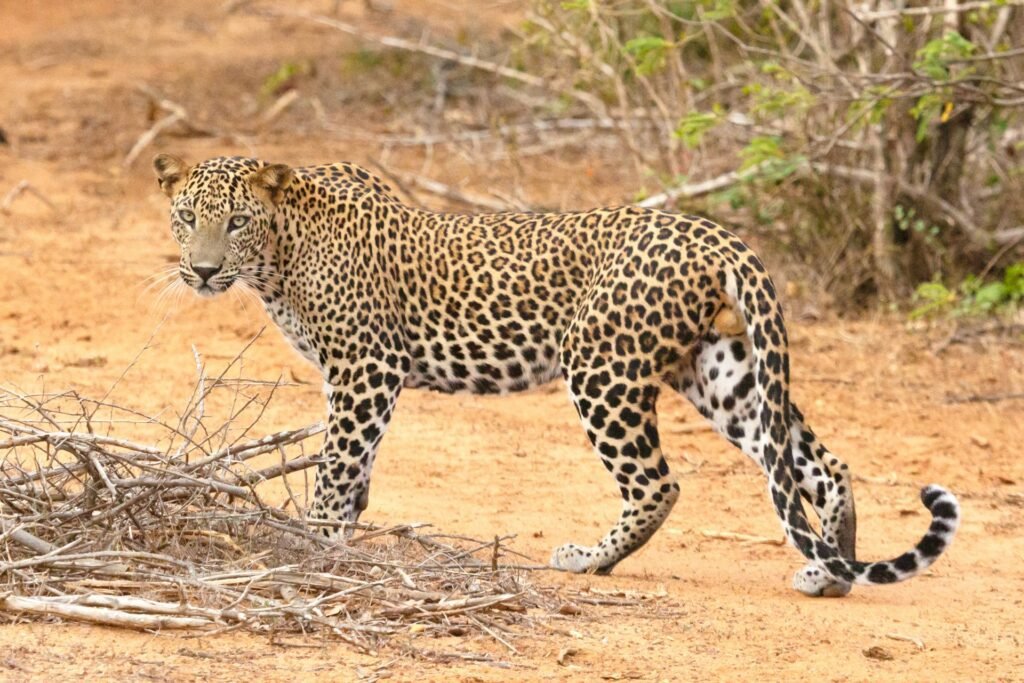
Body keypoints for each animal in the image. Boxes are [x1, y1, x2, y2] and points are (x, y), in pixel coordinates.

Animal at [152, 153, 960, 597]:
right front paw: (341, 535)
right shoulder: (358, 376)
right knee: (816, 464)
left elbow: (337, 463)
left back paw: (587, 561)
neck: (280, 255)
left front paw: (315, 543)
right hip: (720, 371)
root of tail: (715, 233)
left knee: (659, 483)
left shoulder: (366, 366)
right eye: (186, 216)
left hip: (601, 365)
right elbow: (356, 469)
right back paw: (831, 571)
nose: (203, 270)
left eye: (236, 223)